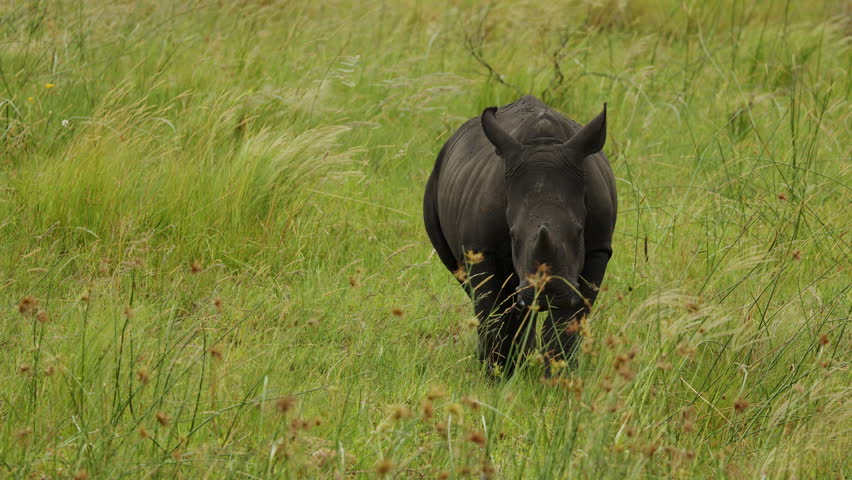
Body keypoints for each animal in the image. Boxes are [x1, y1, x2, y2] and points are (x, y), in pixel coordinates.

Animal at [423, 95, 617, 372]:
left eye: (579, 232)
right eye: (513, 235)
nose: (548, 293)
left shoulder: (597, 248)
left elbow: (570, 320)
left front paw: (558, 374)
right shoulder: (480, 249)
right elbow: (490, 312)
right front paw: (495, 372)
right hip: (435, 181)